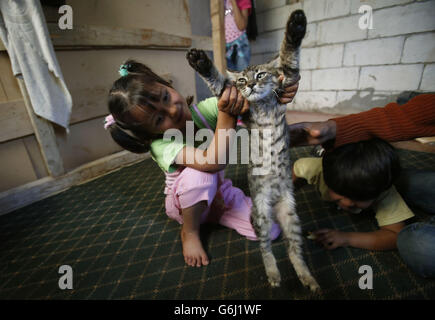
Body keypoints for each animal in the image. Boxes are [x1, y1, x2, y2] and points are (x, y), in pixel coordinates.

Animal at [187, 10, 320, 292]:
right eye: (241, 80)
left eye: (259, 75)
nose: (248, 85)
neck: (264, 105)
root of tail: (274, 203)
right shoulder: (233, 100)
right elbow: (217, 81)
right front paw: (201, 62)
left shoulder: (288, 80)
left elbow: (289, 57)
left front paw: (296, 26)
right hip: (261, 216)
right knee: (266, 249)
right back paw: (274, 274)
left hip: (291, 217)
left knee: (294, 251)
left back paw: (307, 277)